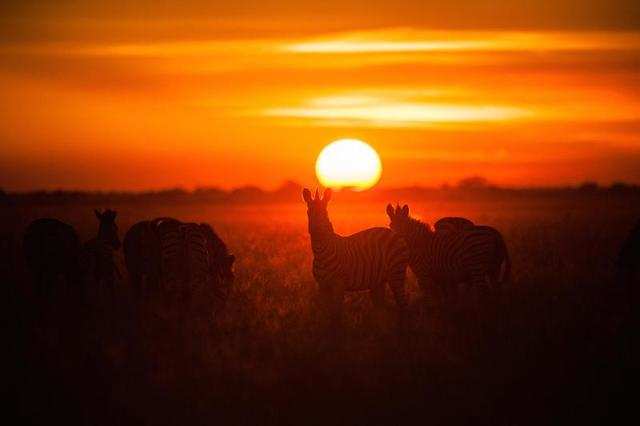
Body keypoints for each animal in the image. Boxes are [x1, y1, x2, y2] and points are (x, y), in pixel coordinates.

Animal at [302, 188, 408, 322]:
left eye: (325, 212)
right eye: (308, 212)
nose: (317, 230)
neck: (320, 251)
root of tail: (395, 233)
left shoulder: (339, 284)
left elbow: (336, 314)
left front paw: (337, 325)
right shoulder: (322, 285)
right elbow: (328, 313)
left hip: (396, 273)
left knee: (403, 304)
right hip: (379, 280)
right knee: (382, 307)